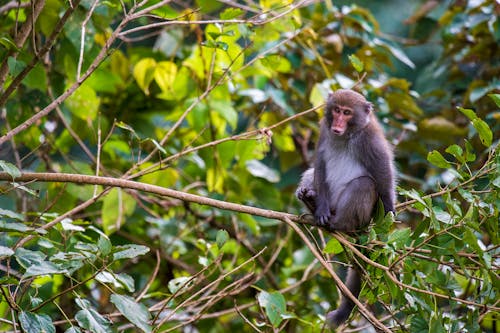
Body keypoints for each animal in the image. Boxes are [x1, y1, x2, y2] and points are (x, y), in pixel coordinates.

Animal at [294, 88, 396, 326]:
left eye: (348, 113)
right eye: (337, 110)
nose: (338, 123)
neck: (348, 135)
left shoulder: (370, 139)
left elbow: (383, 176)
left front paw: (389, 216)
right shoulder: (324, 130)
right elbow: (320, 164)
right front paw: (318, 206)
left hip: (360, 215)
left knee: (364, 184)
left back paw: (338, 224)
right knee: (311, 174)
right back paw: (311, 201)